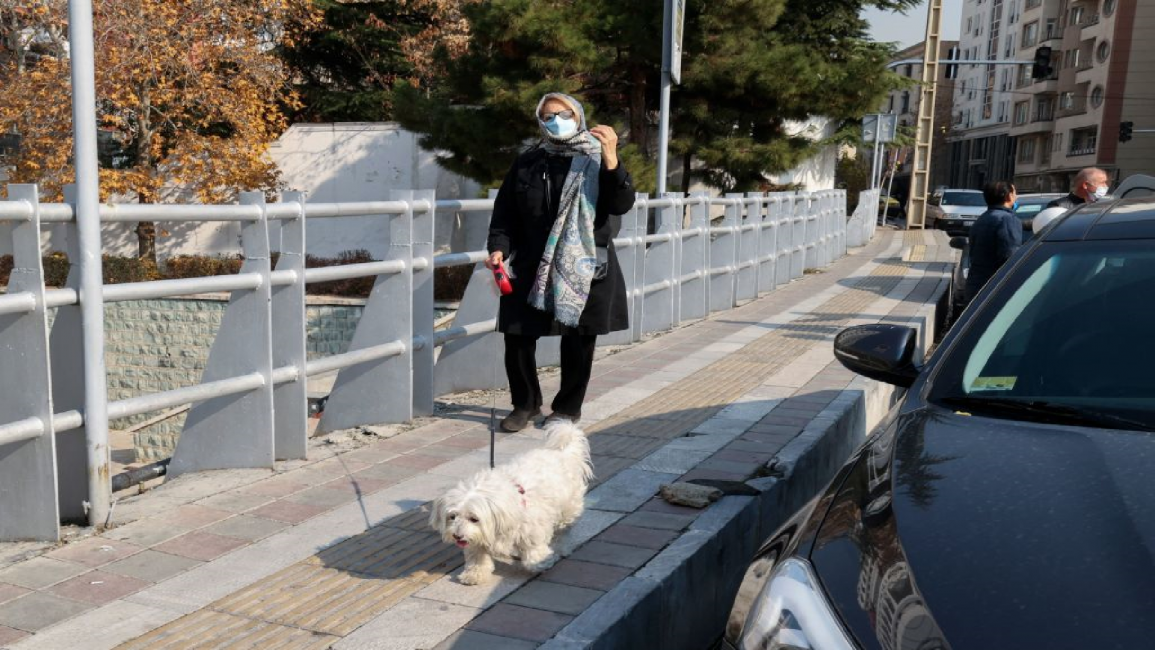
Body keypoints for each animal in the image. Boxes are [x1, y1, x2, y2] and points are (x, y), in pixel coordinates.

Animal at [434, 420, 595, 586]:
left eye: (474, 519)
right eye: (452, 516)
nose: (457, 536)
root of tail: (563, 453)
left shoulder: (531, 530)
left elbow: (533, 548)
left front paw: (540, 562)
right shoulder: (477, 539)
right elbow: (477, 557)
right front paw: (475, 574)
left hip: (567, 510)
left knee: (563, 531)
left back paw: (560, 548)